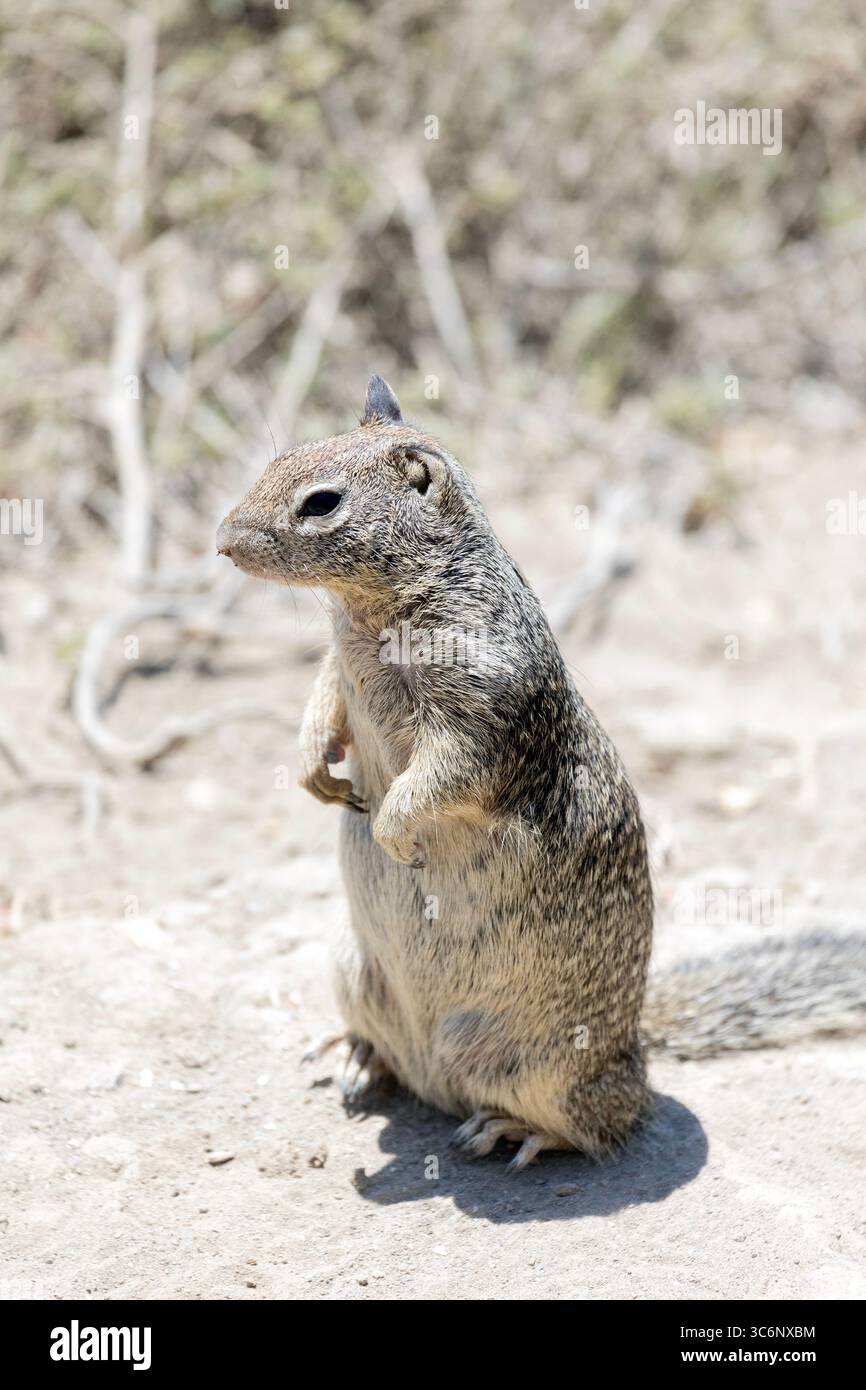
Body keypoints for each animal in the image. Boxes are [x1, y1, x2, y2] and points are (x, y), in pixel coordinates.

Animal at [217, 374, 866, 1169]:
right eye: (278, 459)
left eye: (321, 503)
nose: (221, 541)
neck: (372, 612)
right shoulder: (339, 667)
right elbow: (321, 702)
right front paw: (314, 770)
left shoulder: (481, 713)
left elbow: (440, 776)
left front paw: (398, 832)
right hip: (348, 967)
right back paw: (358, 1052)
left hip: (554, 1069)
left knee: (606, 1121)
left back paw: (515, 1128)